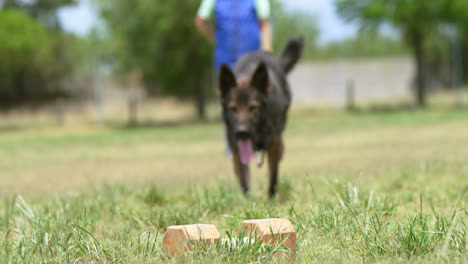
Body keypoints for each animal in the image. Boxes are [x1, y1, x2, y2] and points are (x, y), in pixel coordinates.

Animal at [218, 37, 306, 198]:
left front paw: (271, 198)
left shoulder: (273, 142)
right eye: (233, 108)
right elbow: (243, 177)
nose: (242, 132)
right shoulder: (236, 146)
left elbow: (273, 176)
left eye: (253, 107)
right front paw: (248, 198)